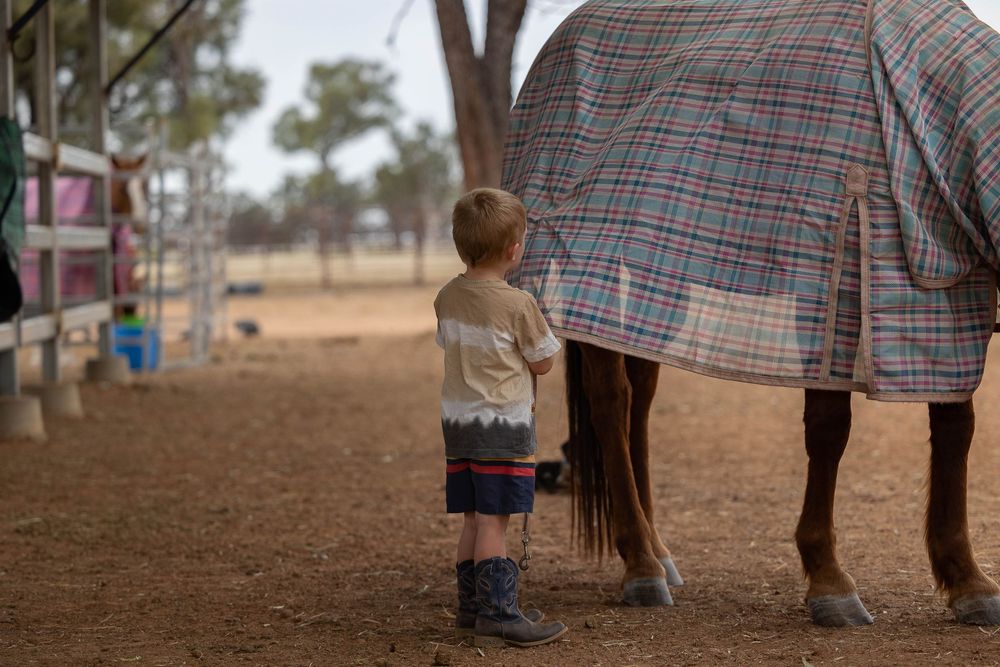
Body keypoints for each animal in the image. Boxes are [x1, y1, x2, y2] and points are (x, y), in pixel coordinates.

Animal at [503, 0, 1000, 626]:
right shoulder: (830, 289)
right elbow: (829, 431)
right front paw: (828, 579)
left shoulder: (945, 298)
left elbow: (957, 429)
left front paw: (968, 580)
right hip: (586, 279)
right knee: (611, 405)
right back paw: (640, 566)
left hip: (648, 295)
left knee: (640, 402)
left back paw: (659, 553)